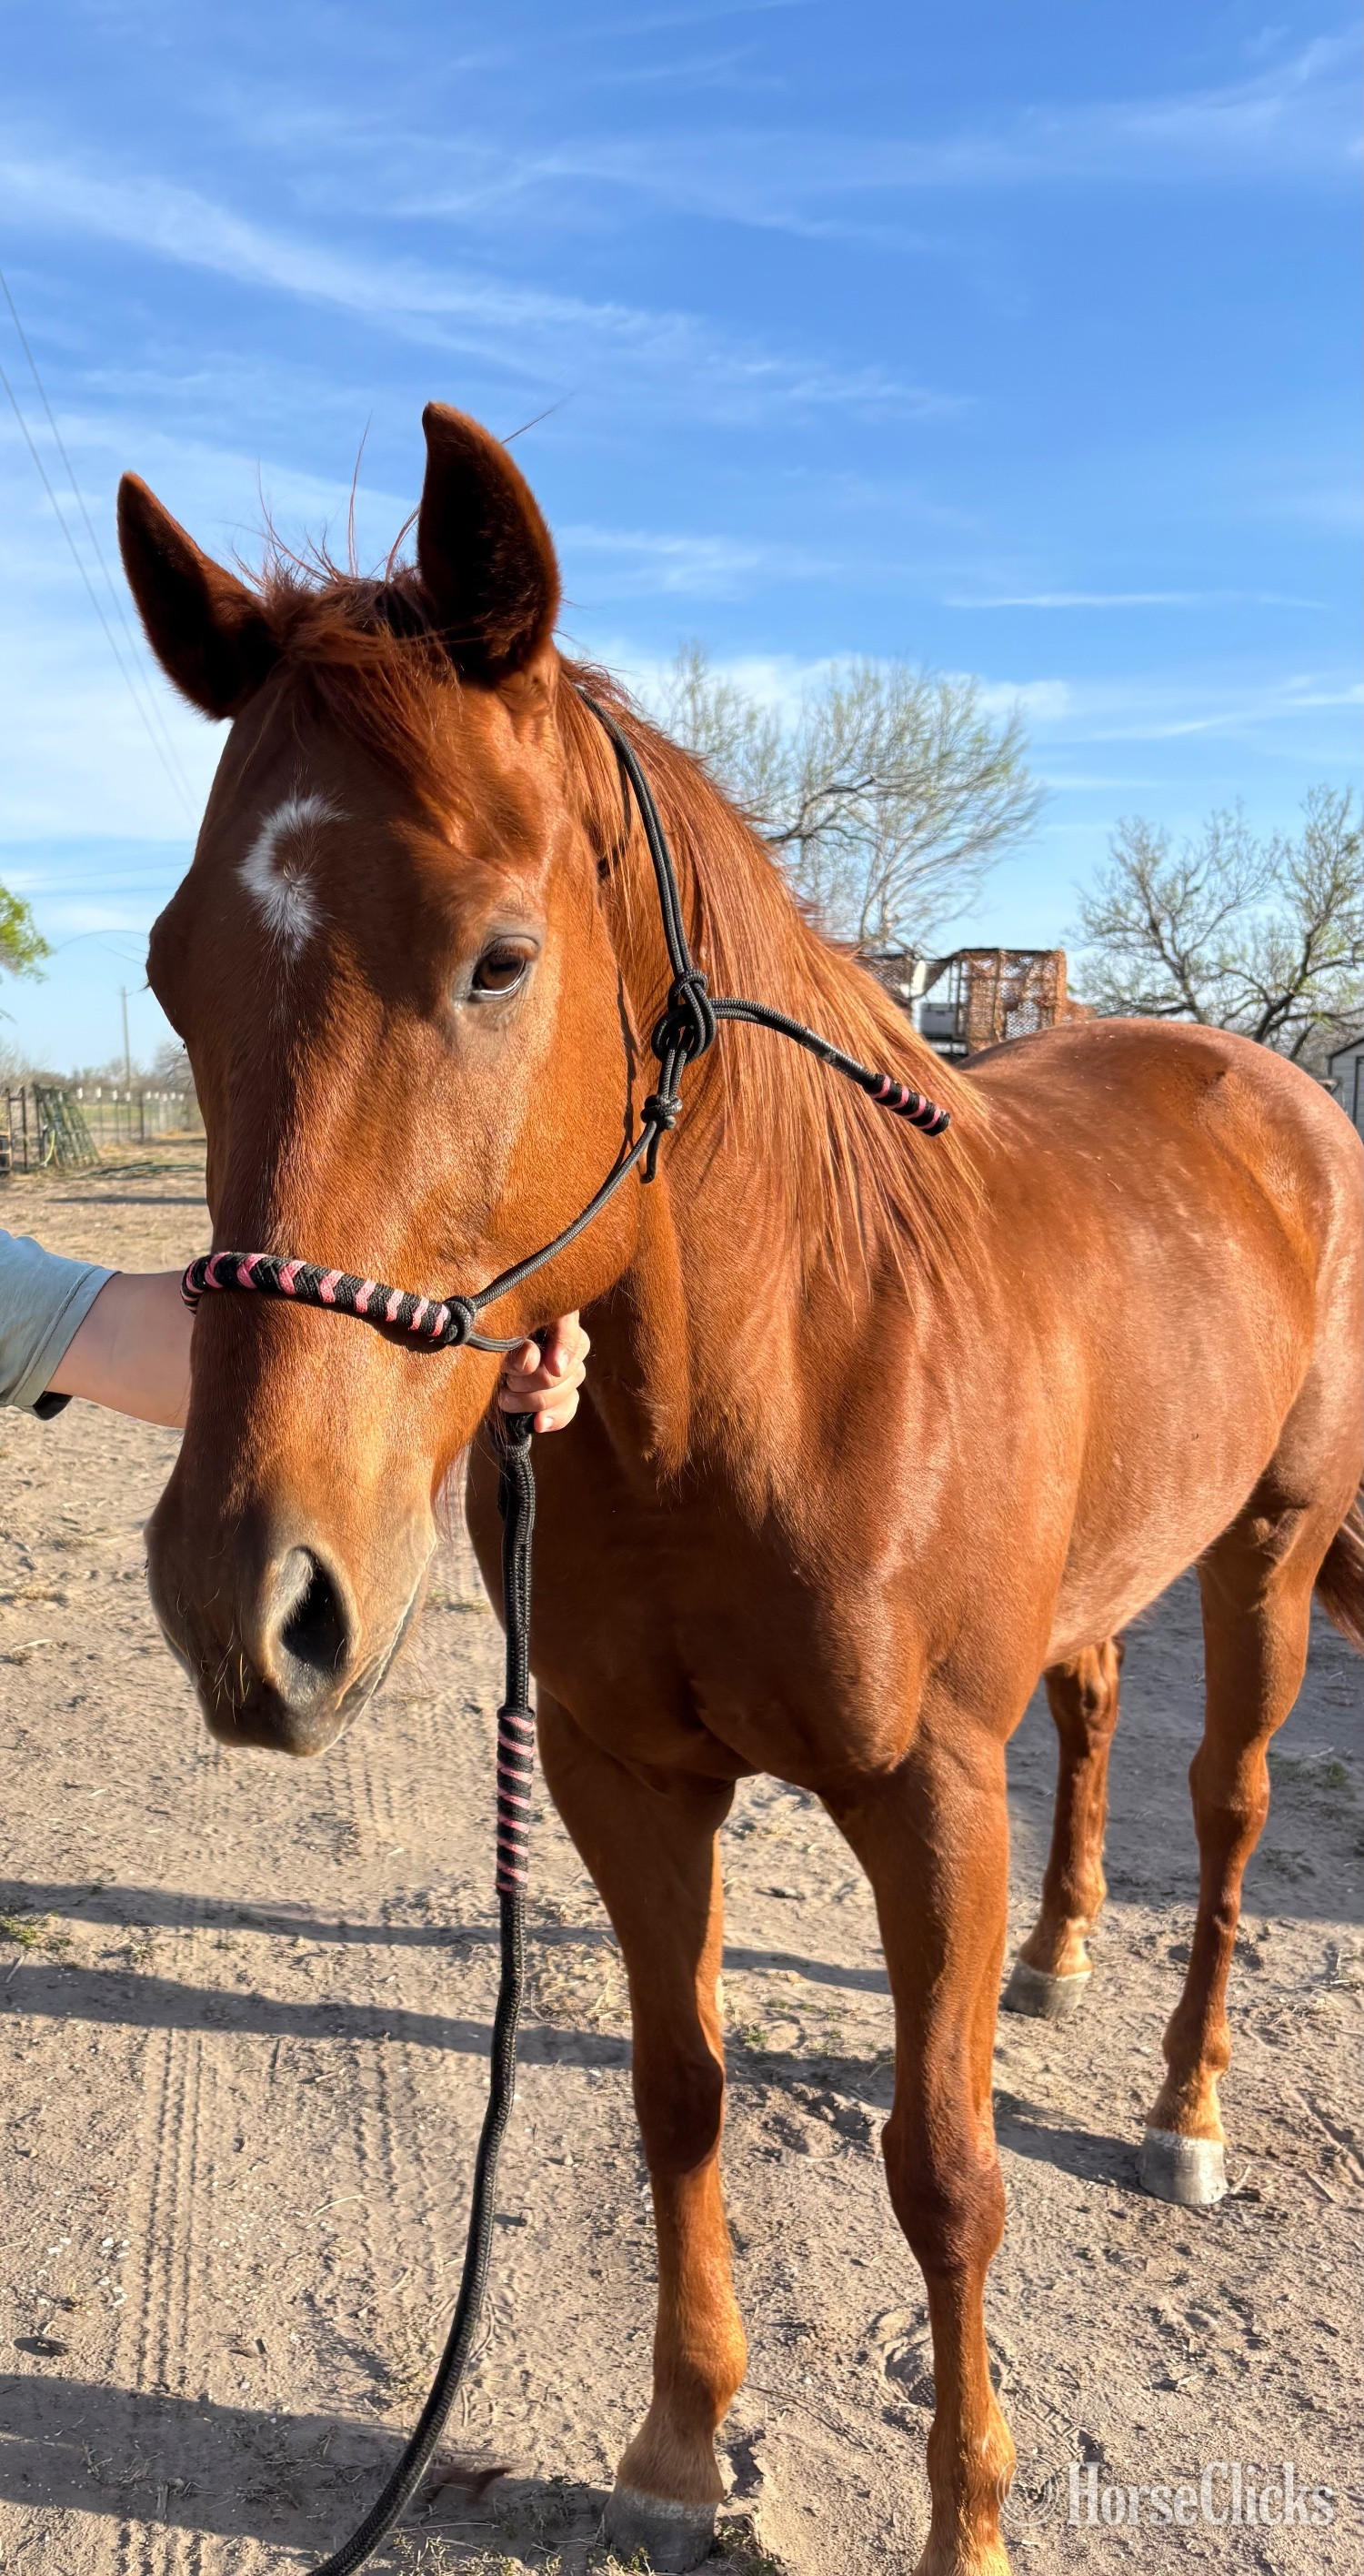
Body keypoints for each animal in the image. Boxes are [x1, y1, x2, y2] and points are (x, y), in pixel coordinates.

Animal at [115, 406, 1364, 2576]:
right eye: (178, 974)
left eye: (500, 959)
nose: (246, 1602)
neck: (788, 1376)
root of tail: (1273, 1086)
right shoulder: (623, 1774)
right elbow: (676, 2090)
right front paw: (686, 2444)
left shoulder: (929, 1795)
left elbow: (944, 2168)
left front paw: (969, 2525)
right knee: (1101, 1711)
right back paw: (1062, 1956)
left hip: (1268, 1558)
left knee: (1226, 1811)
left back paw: (1186, 2110)